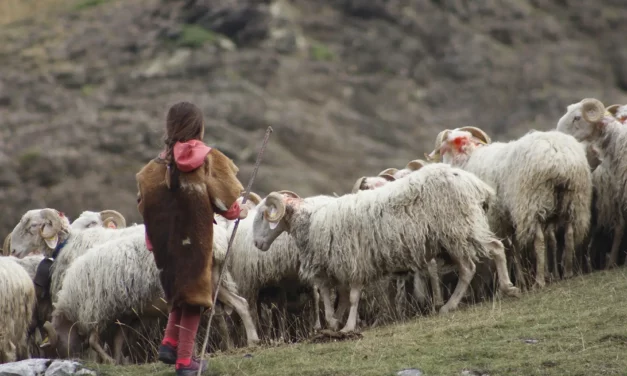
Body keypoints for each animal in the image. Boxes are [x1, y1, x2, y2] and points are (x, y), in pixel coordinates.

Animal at [250, 163, 520, 334]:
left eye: (264, 215)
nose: (256, 244)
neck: (311, 220)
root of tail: (472, 182)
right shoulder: (331, 267)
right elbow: (333, 299)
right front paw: (334, 323)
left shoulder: (353, 261)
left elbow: (353, 297)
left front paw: (348, 327)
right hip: (453, 236)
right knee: (472, 264)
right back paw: (460, 302)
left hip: (460, 227)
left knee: (489, 253)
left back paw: (497, 291)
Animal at [426, 128, 592, 290]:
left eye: (444, 148)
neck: (467, 157)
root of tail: (558, 155)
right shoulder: (507, 218)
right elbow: (515, 248)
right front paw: (530, 279)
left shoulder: (496, 218)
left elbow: (509, 249)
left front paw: (518, 281)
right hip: (575, 200)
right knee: (569, 233)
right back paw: (568, 272)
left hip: (530, 203)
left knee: (539, 240)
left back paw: (539, 281)